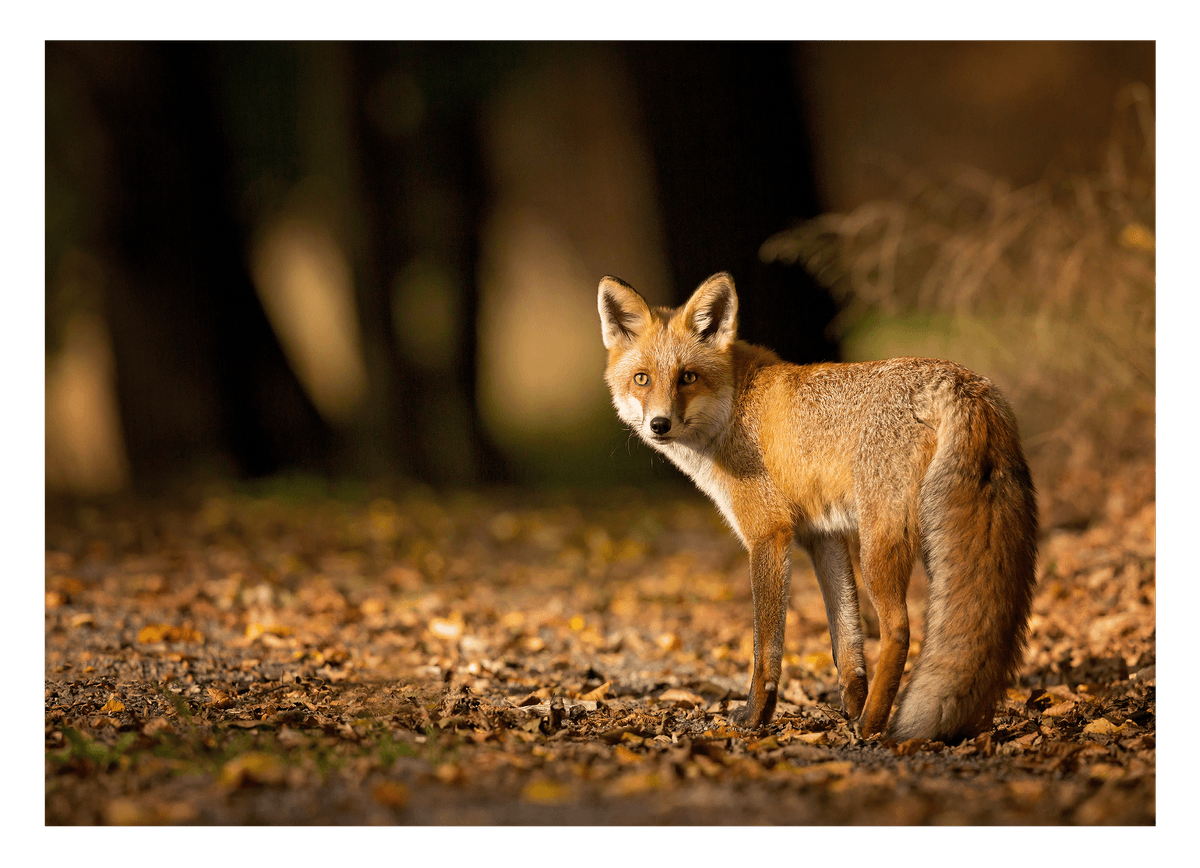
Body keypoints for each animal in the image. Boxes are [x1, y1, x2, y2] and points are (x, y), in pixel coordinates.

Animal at [598, 271, 1038, 742]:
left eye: (688, 377)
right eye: (642, 379)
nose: (659, 424)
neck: (735, 408)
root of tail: (961, 382)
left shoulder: (769, 533)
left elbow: (766, 647)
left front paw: (756, 716)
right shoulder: (823, 535)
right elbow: (846, 644)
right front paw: (849, 705)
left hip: (880, 545)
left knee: (899, 630)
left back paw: (872, 725)